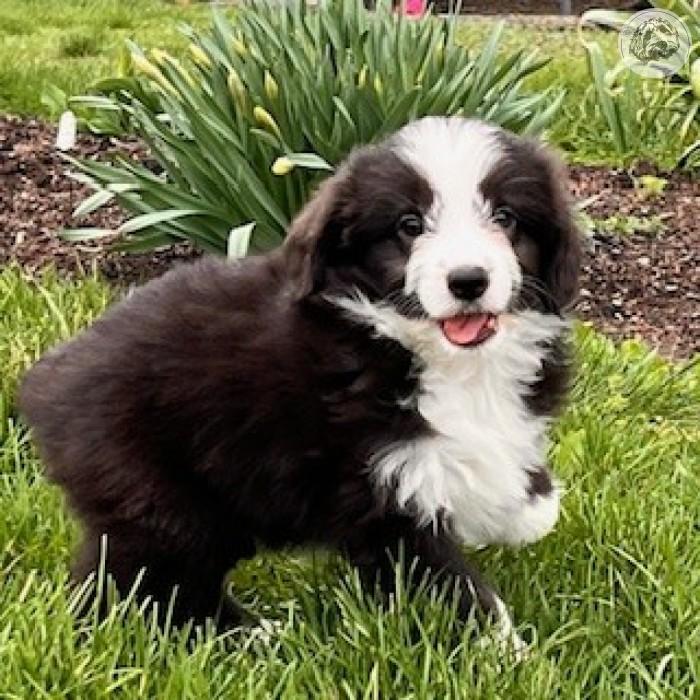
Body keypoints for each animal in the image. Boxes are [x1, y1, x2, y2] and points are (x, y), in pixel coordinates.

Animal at [20, 116, 580, 653]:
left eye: (505, 218)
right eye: (410, 225)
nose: (468, 280)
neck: (427, 353)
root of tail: (47, 384)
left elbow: (499, 469)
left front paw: (532, 508)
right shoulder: (381, 494)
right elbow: (451, 584)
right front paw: (509, 654)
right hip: (160, 496)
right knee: (143, 587)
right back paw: (251, 636)